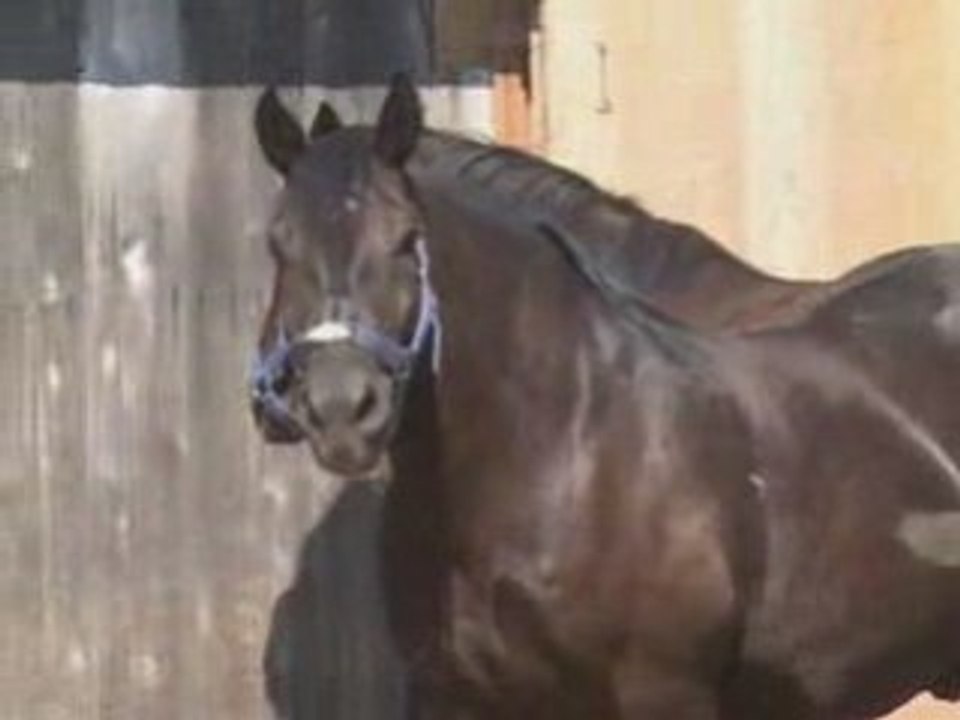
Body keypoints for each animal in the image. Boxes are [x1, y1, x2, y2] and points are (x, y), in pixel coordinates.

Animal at [249, 75, 960, 718]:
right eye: (277, 244)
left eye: (404, 239)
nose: (341, 408)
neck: (559, 448)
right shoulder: (452, 697)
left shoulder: (664, 692)